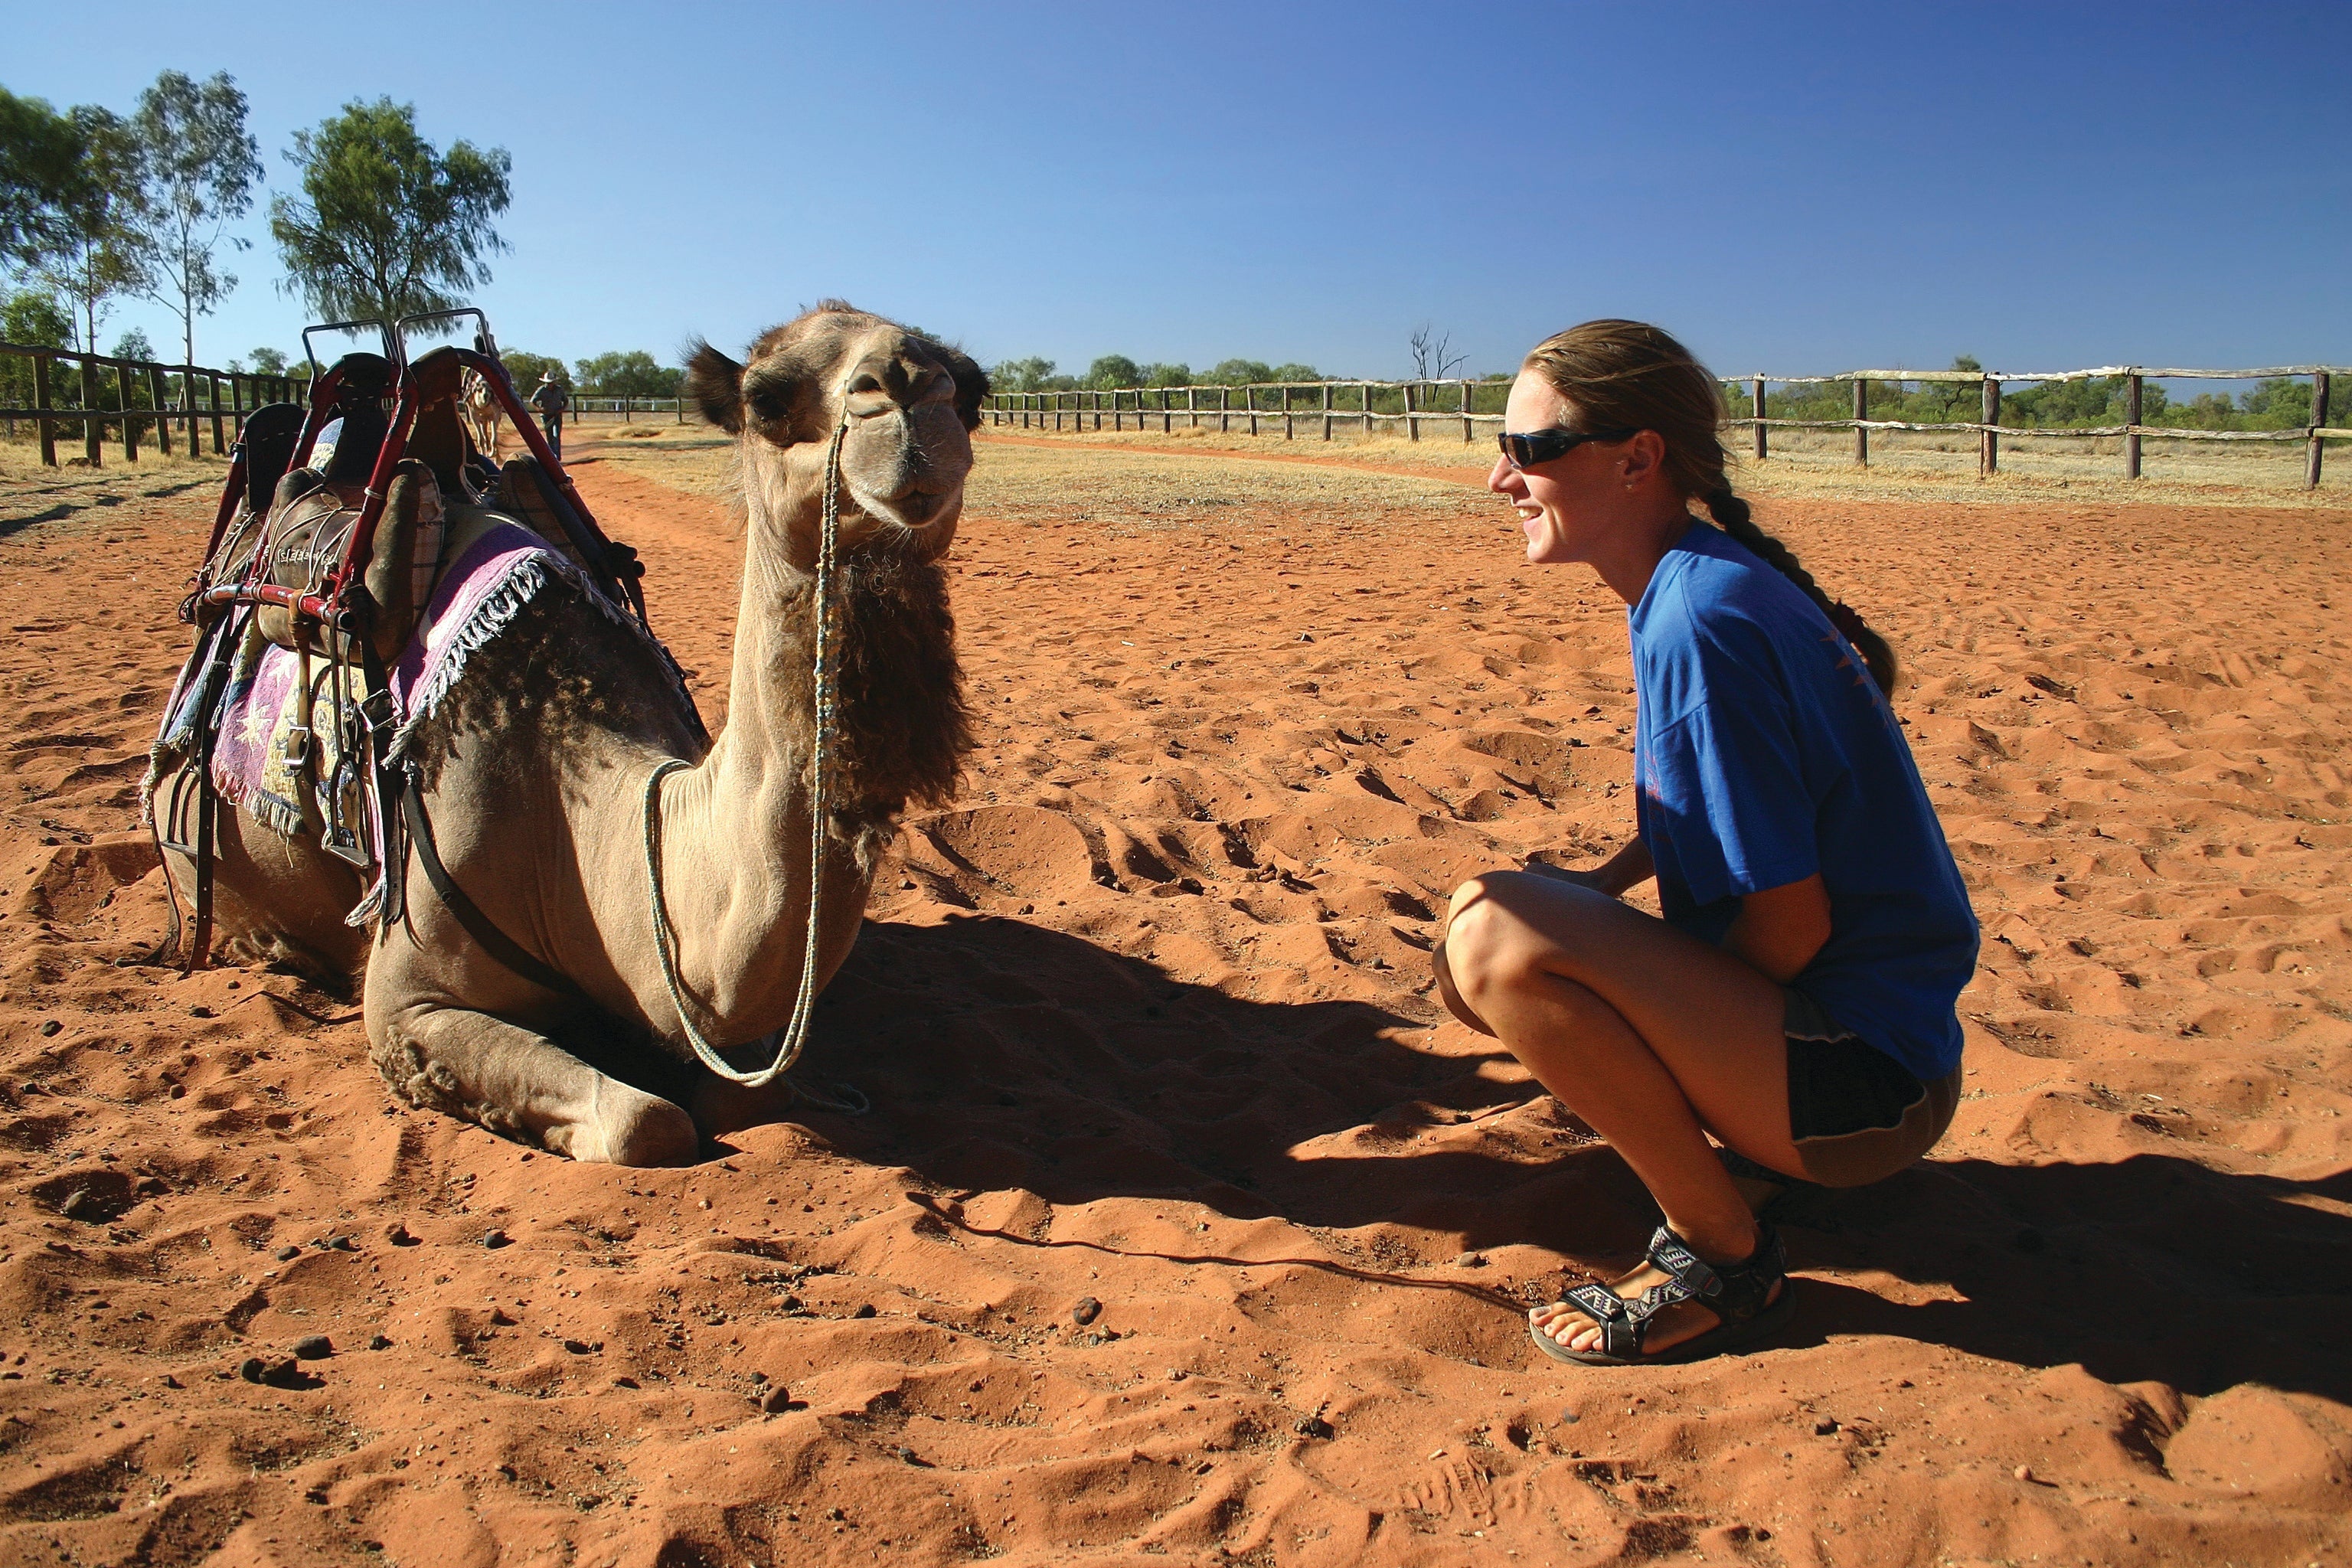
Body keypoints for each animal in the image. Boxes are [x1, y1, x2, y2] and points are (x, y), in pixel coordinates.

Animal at [154, 304, 983, 1164]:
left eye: (973, 392)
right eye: (767, 399)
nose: (909, 388)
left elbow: (736, 1089)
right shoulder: (406, 1000)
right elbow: (645, 1121)